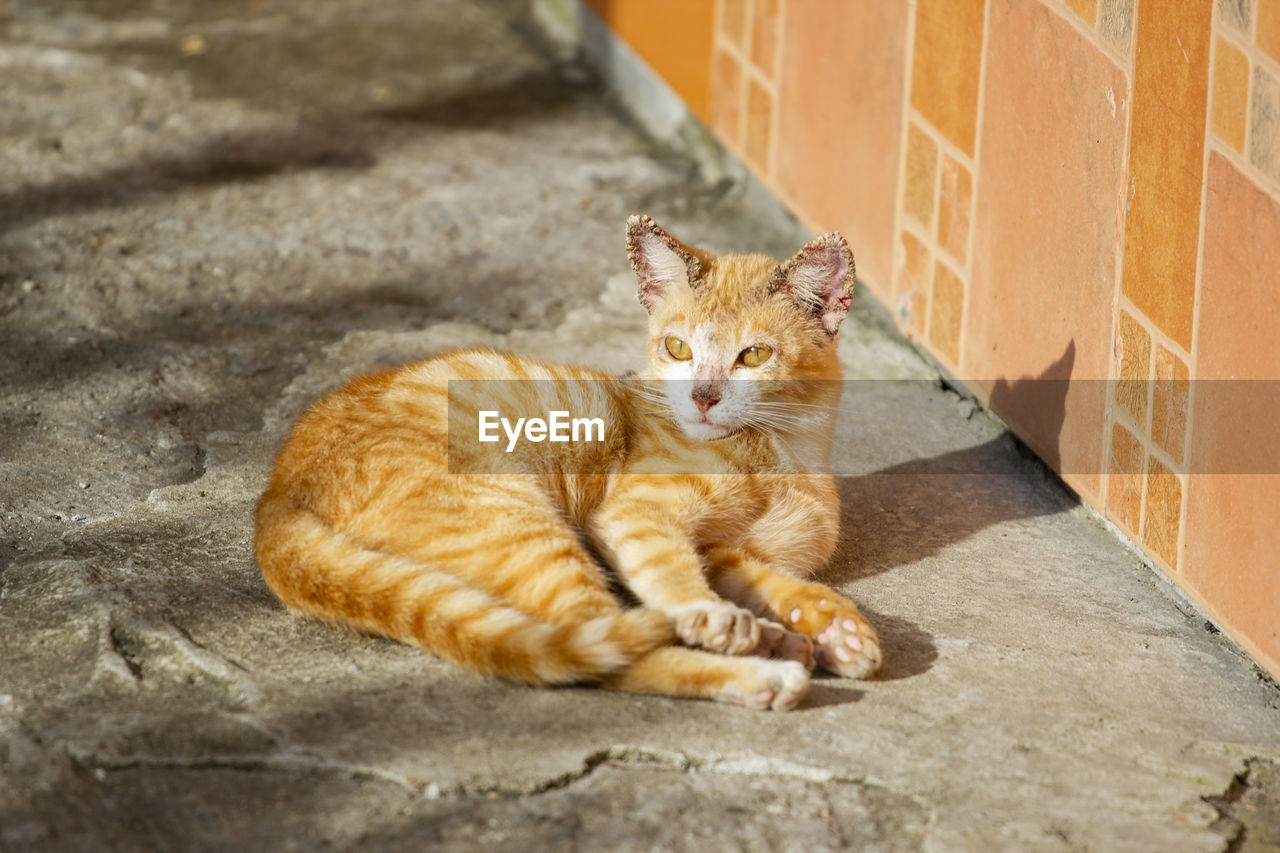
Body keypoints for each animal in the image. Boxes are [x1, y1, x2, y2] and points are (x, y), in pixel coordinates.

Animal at [259, 216, 880, 706]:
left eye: (753, 355)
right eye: (677, 348)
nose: (703, 397)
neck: (782, 456)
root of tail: (276, 496)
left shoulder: (725, 551)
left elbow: (773, 581)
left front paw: (836, 626)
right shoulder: (634, 517)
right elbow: (673, 573)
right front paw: (717, 616)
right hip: (526, 530)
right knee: (608, 657)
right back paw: (764, 674)